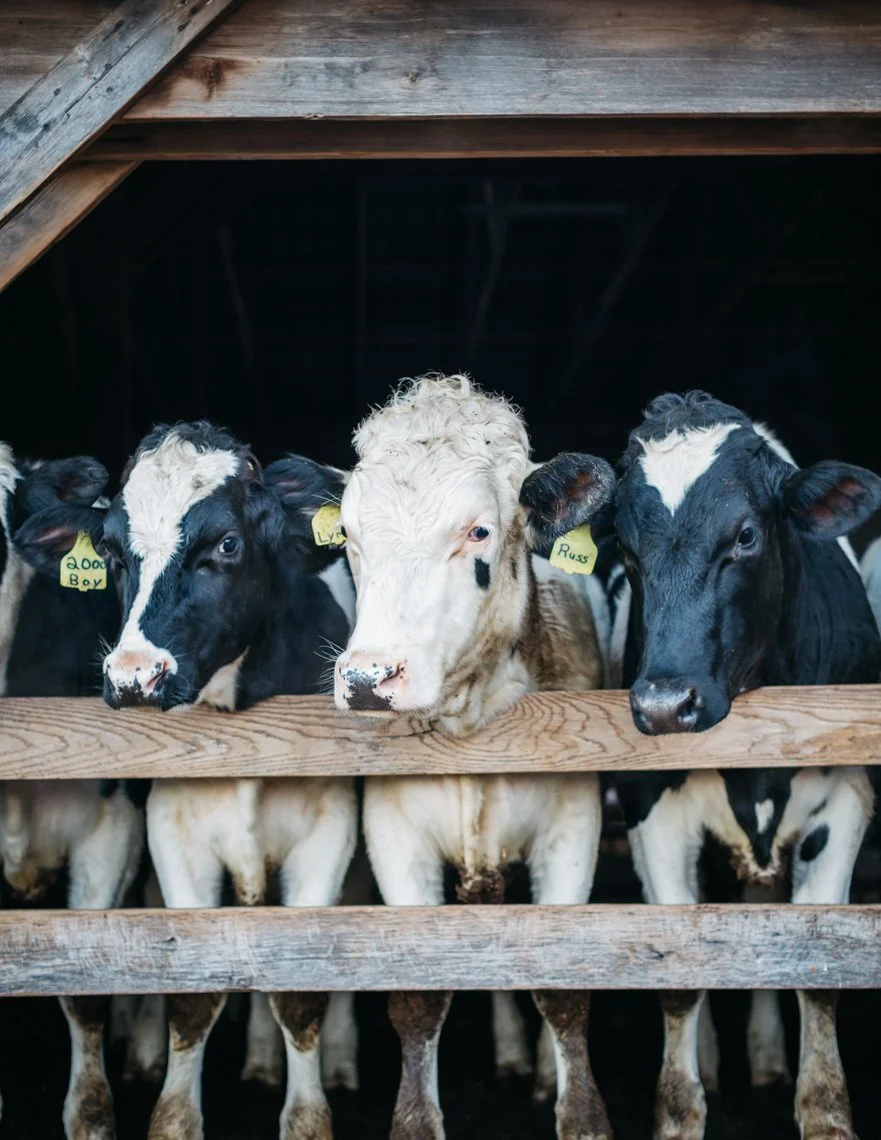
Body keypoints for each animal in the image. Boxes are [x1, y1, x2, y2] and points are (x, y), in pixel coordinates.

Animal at [95, 422, 358, 1140]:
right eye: (111, 551)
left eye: (227, 544)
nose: (134, 675)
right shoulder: (172, 835)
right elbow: (194, 986)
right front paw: (174, 1114)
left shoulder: (326, 835)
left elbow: (301, 992)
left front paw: (308, 1113)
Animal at [331, 374, 617, 1140]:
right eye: (347, 535)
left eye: (478, 531)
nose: (367, 677)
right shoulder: (394, 836)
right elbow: (419, 997)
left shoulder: (573, 826)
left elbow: (563, 990)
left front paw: (580, 1113)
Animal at [598, 391, 881, 1140]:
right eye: (626, 550)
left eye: (746, 536)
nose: (665, 704)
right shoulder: (649, 810)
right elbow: (679, 974)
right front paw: (679, 1110)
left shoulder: (846, 799)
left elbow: (819, 964)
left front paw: (823, 1110)